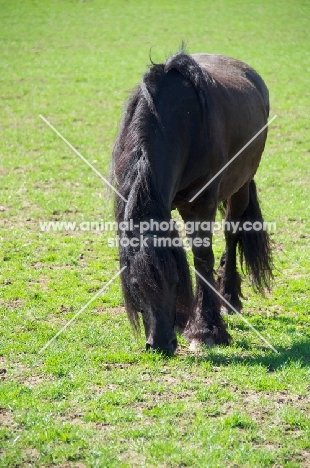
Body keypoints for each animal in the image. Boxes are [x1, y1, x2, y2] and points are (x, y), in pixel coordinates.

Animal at [111, 51, 272, 352]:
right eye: (136, 285)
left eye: (175, 281)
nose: (159, 344)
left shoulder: (201, 204)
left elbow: (201, 257)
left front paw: (205, 330)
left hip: (241, 185)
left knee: (232, 232)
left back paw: (229, 297)